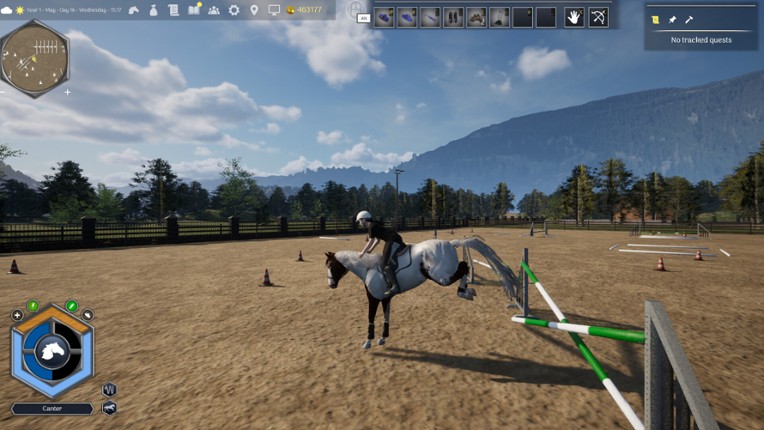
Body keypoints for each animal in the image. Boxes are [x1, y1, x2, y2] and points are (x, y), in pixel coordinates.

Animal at [325, 238, 476, 349]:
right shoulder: (385, 298)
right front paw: (382, 338)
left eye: (330, 265)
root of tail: (450, 243)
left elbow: (371, 317)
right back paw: (468, 291)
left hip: (441, 277)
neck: (368, 268)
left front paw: (368, 342)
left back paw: (464, 292)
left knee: (464, 267)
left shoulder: (373, 298)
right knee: (464, 266)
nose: (331, 284)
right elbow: (386, 316)